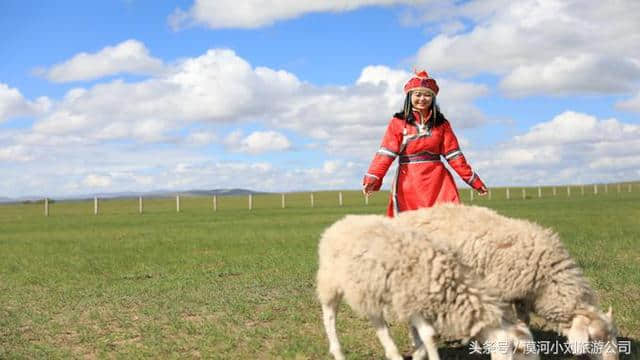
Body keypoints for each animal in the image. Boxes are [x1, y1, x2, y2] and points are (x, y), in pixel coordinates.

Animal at [316, 214, 540, 360]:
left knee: (376, 317)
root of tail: (340, 223)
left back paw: (392, 352)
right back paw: (338, 352)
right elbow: (430, 336)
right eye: (522, 353)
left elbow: (428, 337)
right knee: (329, 315)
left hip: (368, 286)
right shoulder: (412, 300)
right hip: (331, 280)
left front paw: (418, 354)